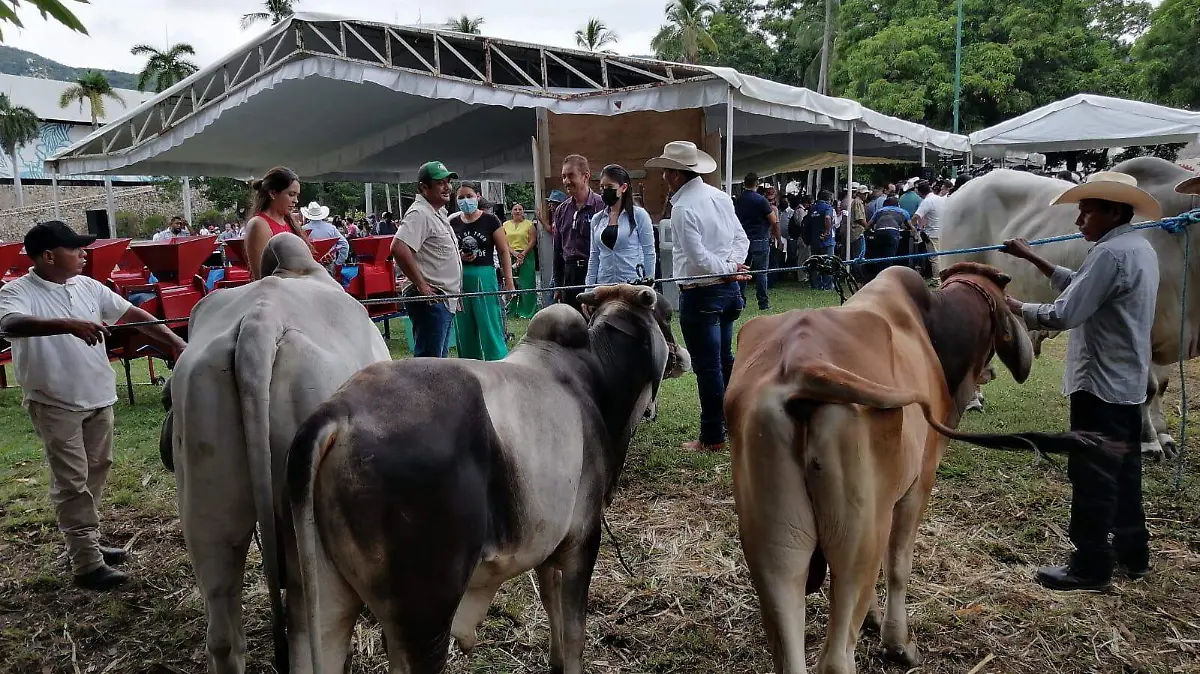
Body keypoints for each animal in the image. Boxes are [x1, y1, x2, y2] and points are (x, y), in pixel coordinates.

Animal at [285, 284, 687, 674]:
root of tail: (341, 412)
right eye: (667, 314)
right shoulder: (581, 540)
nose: (681, 354)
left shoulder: (550, 547)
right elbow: (575, 633)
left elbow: (554, 613)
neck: (596, 377)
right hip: (424, 619)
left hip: (318, 606)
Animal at [726, 263, 1113, 674]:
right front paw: (898, 644)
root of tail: (802, 365)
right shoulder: (918, 484)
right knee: (837, 656)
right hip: (860, 531)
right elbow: (899, 566)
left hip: (778, 545)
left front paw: (873, 620)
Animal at [939, 157, 1200, 459]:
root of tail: (963, 191)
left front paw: (1165, 437)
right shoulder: (1142, 326)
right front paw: (1148, 442)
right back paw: (971, 400)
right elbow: (1147, 389)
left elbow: (1162, 386)